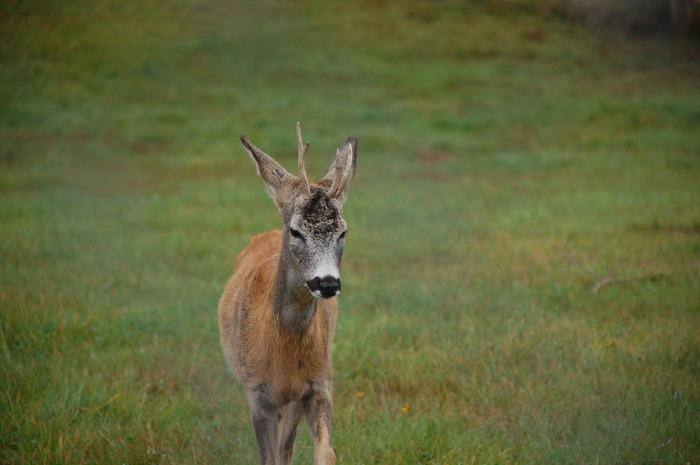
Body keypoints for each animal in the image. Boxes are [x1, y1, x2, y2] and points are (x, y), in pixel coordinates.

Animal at [219, 121, 358, 462]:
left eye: (343, 231)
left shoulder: (320, 384)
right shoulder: (258, 394)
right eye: (296, 231)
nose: (327, 283)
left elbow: (325, 454)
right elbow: (268, 458)